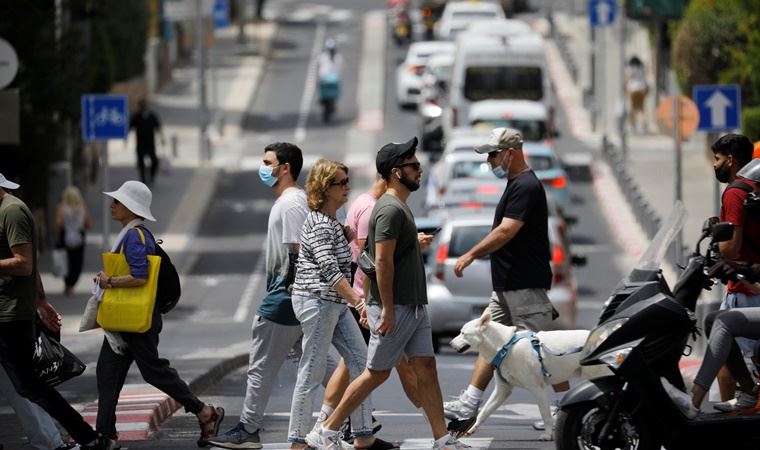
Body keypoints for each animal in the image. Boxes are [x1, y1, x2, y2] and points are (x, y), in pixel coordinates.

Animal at [448, 314, 608, 442]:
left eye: (463, 333)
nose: (449, 343)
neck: (505, 346)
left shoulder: (537, 388)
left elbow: (545, 414)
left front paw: (547, 435)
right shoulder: (502, 390)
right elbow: (484, 411)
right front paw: (470, 429)